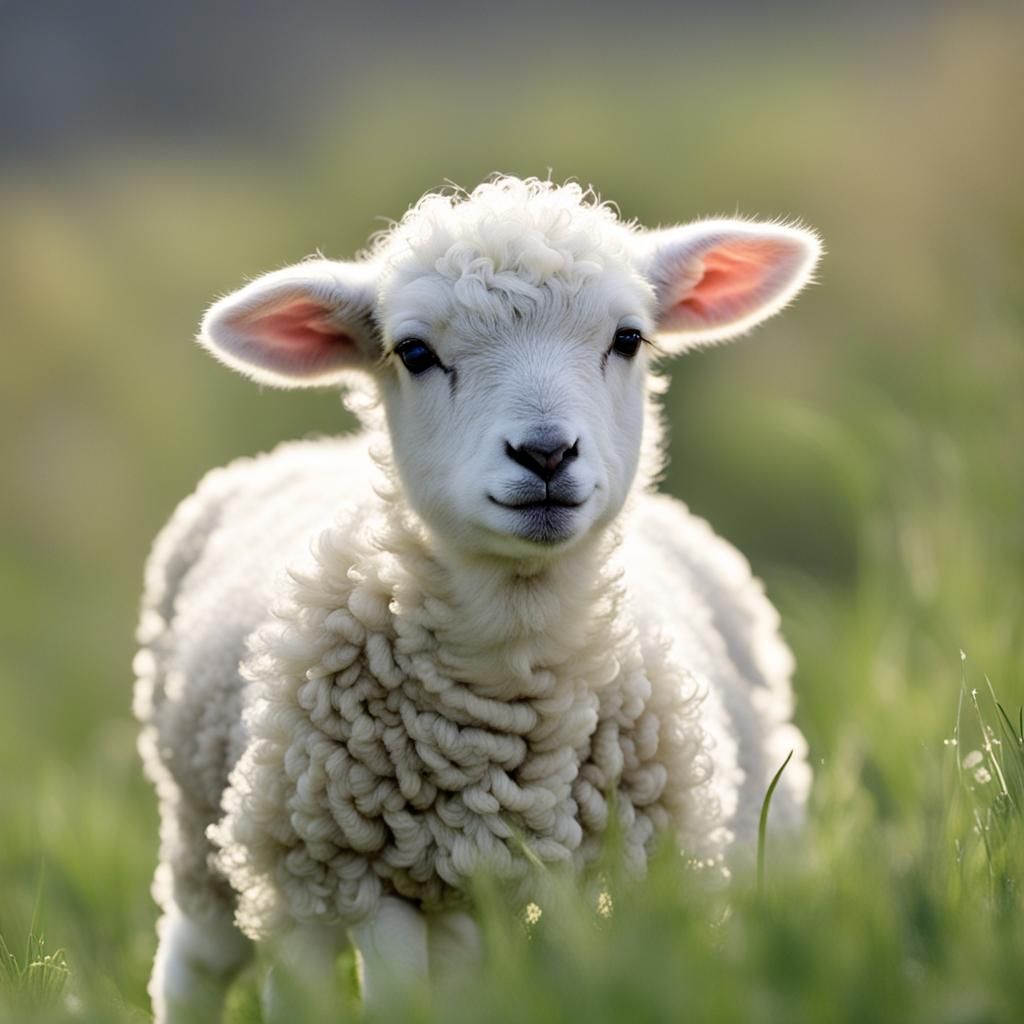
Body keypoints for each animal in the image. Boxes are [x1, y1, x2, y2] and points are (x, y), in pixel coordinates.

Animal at [134, 175, 821, 1022]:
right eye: (415, 352)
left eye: (629, 339)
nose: (546, 454)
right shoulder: (355, 873)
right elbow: (388, 999)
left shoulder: (631, 877)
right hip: (224, 834)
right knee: (201, 964)